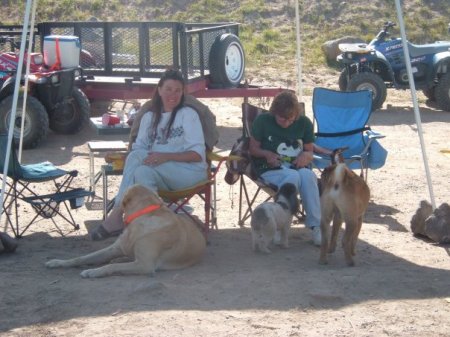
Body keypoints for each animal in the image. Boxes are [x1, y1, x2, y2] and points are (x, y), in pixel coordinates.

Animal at [44, 185, 207, 276]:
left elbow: (111, 266)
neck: (141, 218)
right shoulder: (113, 249)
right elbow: (82, 258)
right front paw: (58, 262)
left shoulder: (144, 265)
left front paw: (93, 271)